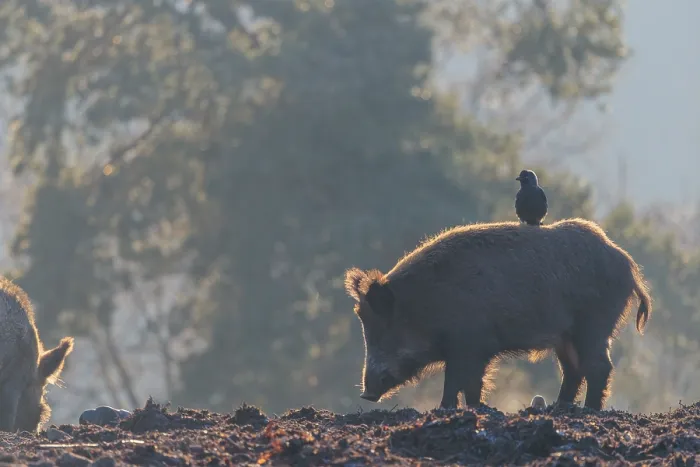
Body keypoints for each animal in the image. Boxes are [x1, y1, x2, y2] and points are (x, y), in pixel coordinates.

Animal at [344, 218, 652, 411]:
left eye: (384, 327)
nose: (366, 393)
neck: (426, 303)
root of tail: (628, 264)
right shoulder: (473, 349)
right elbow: (470, 383)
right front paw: (471, 407)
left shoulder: (469, 343)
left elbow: (457, 380)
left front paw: (444, 409)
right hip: (566, 336)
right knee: (574, 369)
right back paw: (560, 407)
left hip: (594, 324)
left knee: (599, 367)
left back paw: (589, 410)